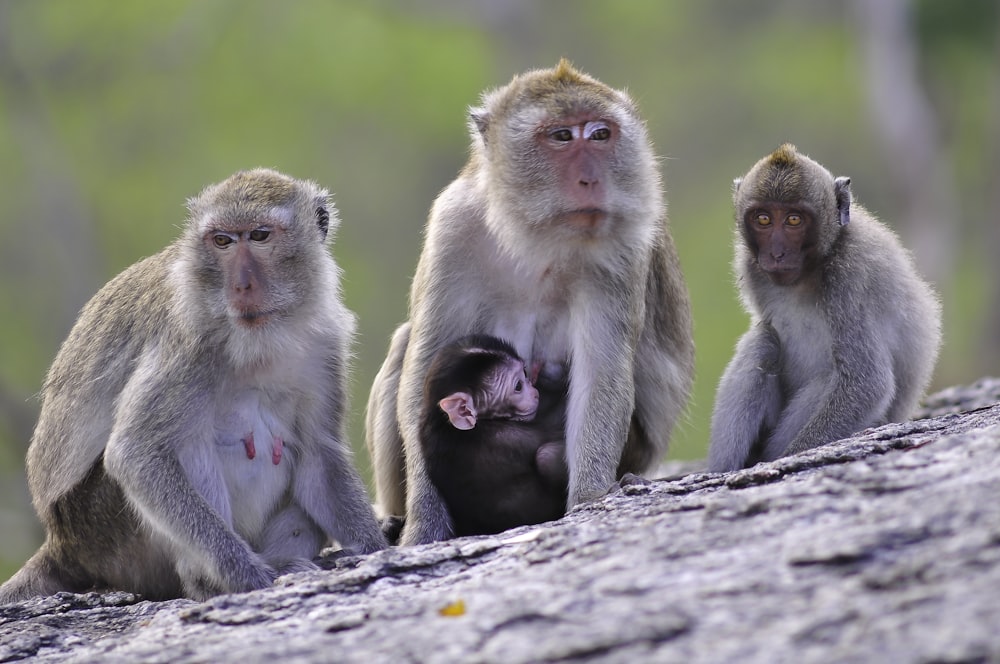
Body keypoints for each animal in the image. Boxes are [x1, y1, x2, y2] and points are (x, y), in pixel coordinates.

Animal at [0, 169, 386, 604]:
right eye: (222, 241)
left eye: (259, 235)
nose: (241, 285)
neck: (259, 338)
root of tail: (59, 543)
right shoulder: (185, 343)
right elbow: (137, 453)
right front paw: (247, 575)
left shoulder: (324, 344)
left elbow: (319, 454)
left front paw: (372, 548)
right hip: (103, 533)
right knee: (186, 442)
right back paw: (209, 583)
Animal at [418, 334, 568, 536]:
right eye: (518, 386)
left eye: (525, 373)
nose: (535, 393)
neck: (445, 424)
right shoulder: (510, 436)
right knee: (546, 455)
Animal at [708, 145, 940, 472]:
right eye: (763, 219)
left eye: (794, 220)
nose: (776, 253)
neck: (812, 268)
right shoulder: (751, 267)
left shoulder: (850, 275)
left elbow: (867, 381)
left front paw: (790, 458)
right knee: (762, 343)